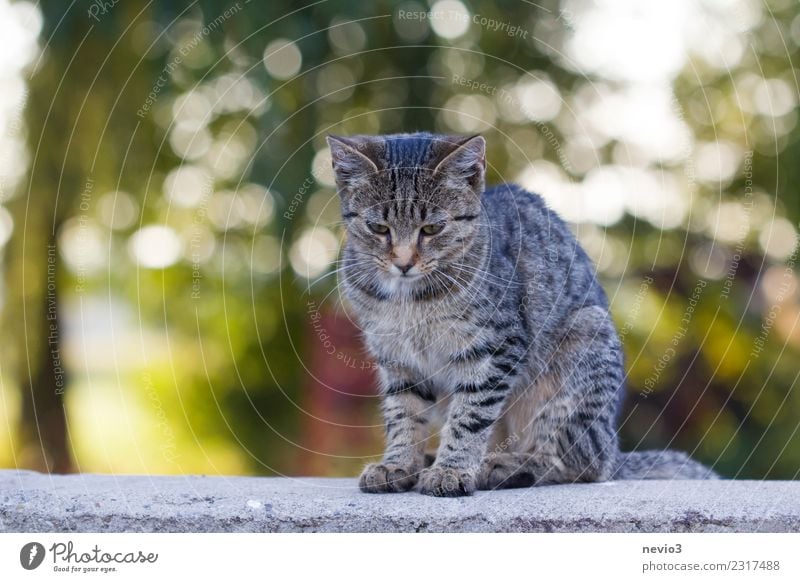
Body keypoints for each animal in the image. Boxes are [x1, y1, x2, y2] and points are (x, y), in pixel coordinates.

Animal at [328, 135, 716, 500]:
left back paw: (501, 466)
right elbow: (403, 414)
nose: (404, 262)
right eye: (379, 228)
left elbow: (469, 416)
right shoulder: (396, 357)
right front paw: (399, 463)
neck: (406, 298)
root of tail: (614, 450)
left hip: (585, 341)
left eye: (432, 229)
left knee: (579, 462)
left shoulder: (495, 347)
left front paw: (451, 470)